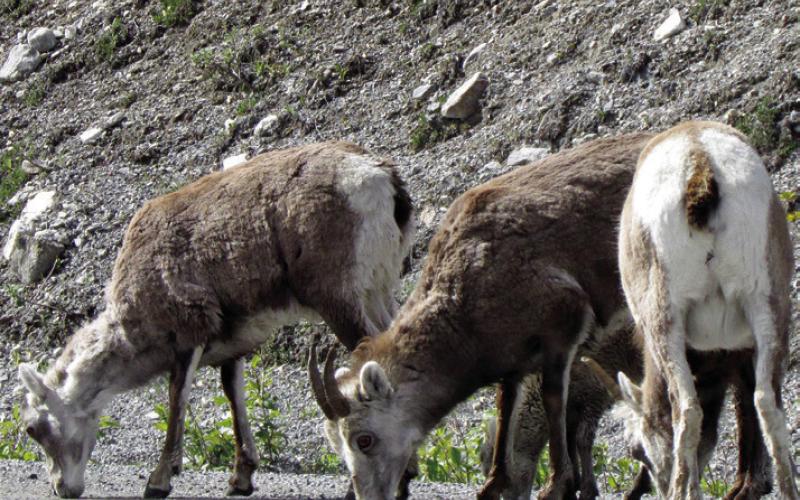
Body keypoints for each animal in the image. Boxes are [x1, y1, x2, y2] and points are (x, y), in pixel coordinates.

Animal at [17, 141, 416, 498]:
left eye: (33, 428)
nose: (62, 490)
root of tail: (383, 177)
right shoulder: (233, 345)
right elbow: (233, 396)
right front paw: (241, 479)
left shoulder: (188, 333)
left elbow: (177, 400)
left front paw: (159, 481)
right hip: (377, 292)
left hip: (340, 300)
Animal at [307, 131, 655, 500]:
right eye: (337, 446)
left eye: (364, 440)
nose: (369, 496)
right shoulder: (515, 365)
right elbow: (505, 409)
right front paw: (493, 484)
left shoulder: (562, 334)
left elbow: (554, 402)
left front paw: (557, 485)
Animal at [615, 121, 797, 499]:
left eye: (637, 451)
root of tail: (699, 159)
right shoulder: (741, 349)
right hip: (767, 307)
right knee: (768, 406)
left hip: (665, 324)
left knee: (687, 412)